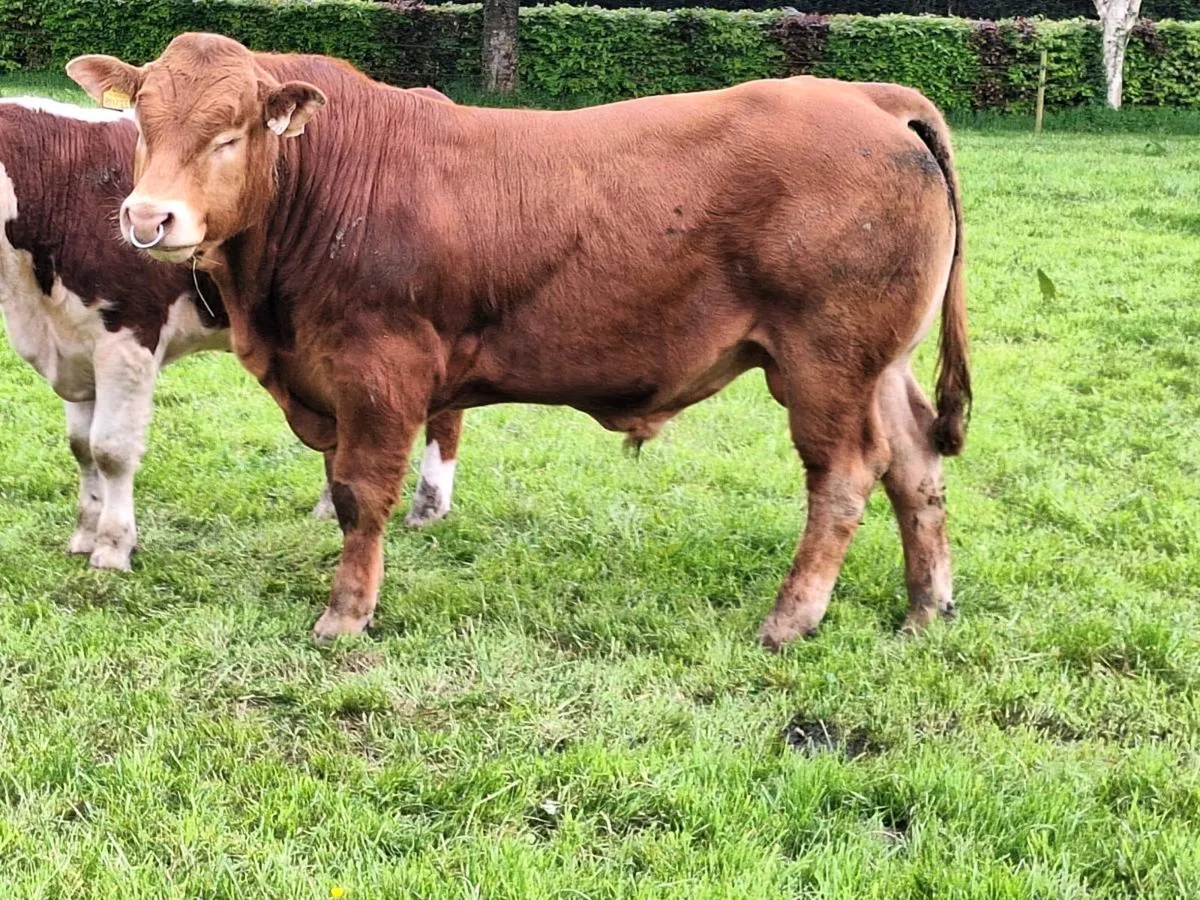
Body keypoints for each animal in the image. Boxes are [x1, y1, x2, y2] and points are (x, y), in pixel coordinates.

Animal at [0, 90, 463, 570]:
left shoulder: (129, 336)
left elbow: (111, 449)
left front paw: (113, 547)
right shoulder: (74, 342)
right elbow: (81, 446)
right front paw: (85, 536)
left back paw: (428, 506)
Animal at [67, 33, 971, 649]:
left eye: (229, 134)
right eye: (142, 124)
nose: (149, 218)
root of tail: (868, 97)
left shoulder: (380, 372)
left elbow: (362, 494)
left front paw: (346, 613)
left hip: (826, 360)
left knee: (846, 477)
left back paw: (792, 616)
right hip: (878, 363)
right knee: (915, 465)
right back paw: (926, 607)